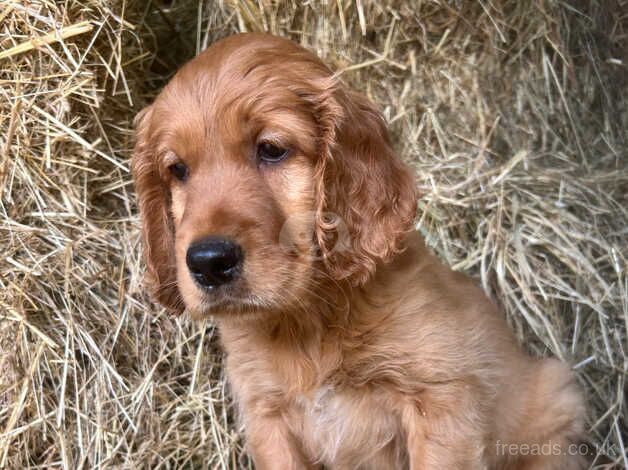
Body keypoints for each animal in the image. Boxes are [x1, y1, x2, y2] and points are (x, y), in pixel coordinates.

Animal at [131, 34, 584, 470]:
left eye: (272, 149)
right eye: (177, 170)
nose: (208, 262)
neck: (309, 321)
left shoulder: (441, 401)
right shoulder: (268, 418)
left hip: (554, 400)